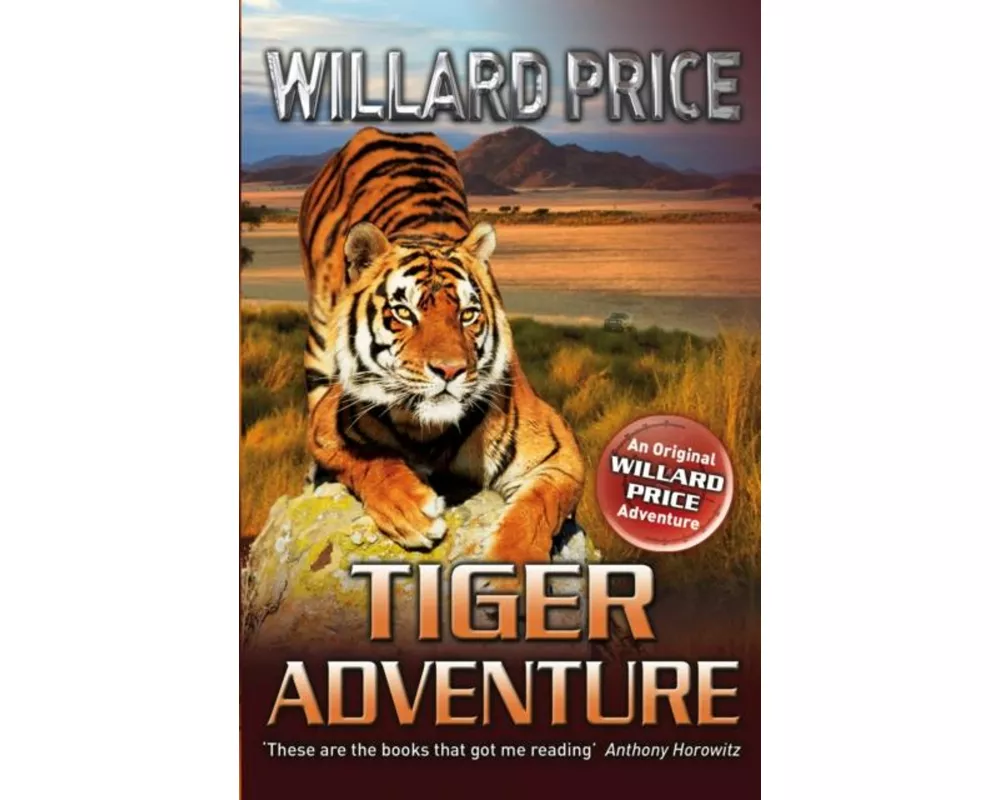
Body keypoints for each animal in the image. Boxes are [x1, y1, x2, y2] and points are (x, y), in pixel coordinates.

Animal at [298, 127, 584, 578]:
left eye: (468, 315)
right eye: (403, 312)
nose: (450, 370)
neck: (428, 430)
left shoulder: (560, 454)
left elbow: (536, 510)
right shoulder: (327, 422)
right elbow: (369, 458)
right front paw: (410, 509)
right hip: (318, 339)